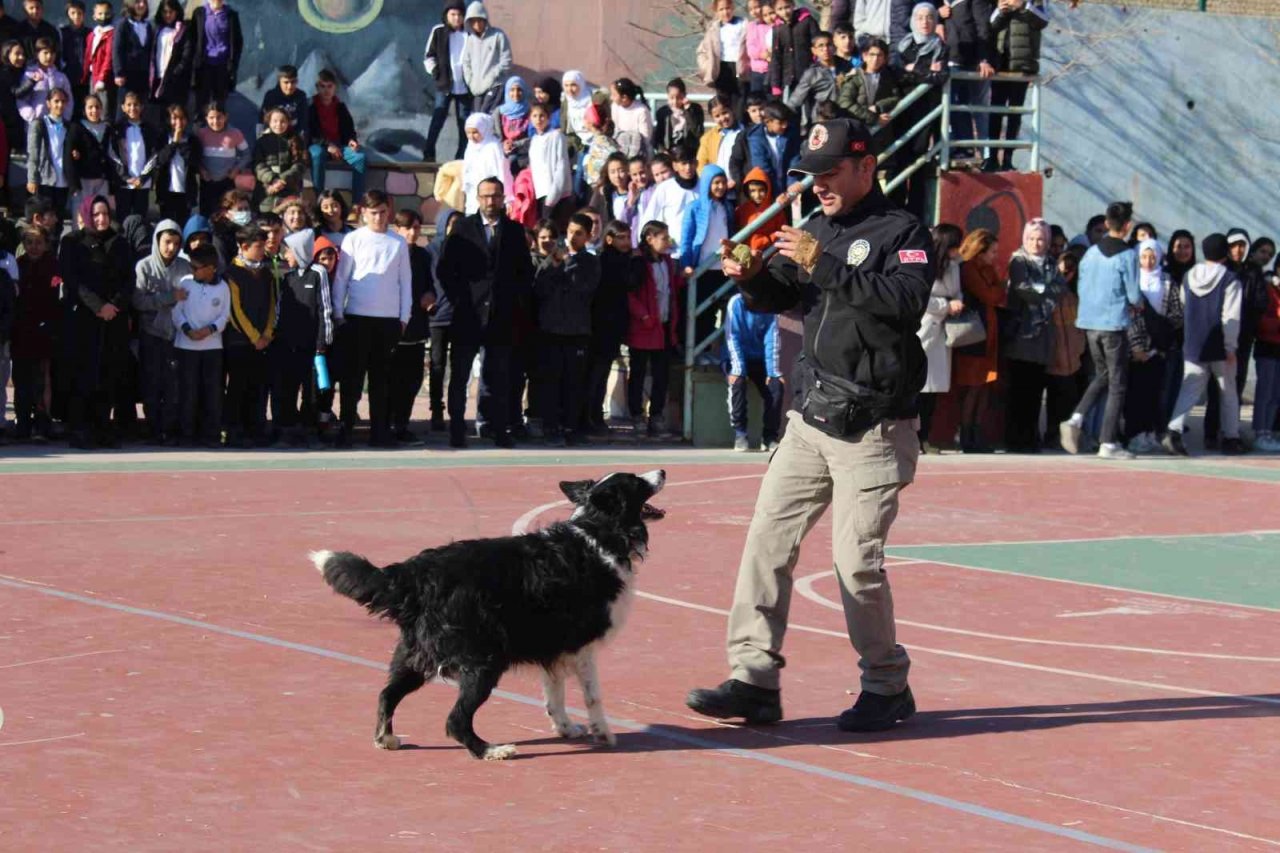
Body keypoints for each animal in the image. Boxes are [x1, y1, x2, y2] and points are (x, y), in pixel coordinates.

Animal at [313, 471, 665, 758]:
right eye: (636, 481)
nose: (662, 471)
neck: (599, 532)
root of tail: (415, 574)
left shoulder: (553, 645)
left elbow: (555, 694)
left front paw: (566, 727)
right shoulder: (582, 645)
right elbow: (593, 696)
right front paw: (602, 732)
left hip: (416, 655)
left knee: (387, 694)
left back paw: (386, 739)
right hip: (484, 661)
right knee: (455, 719)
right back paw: (490, 750)